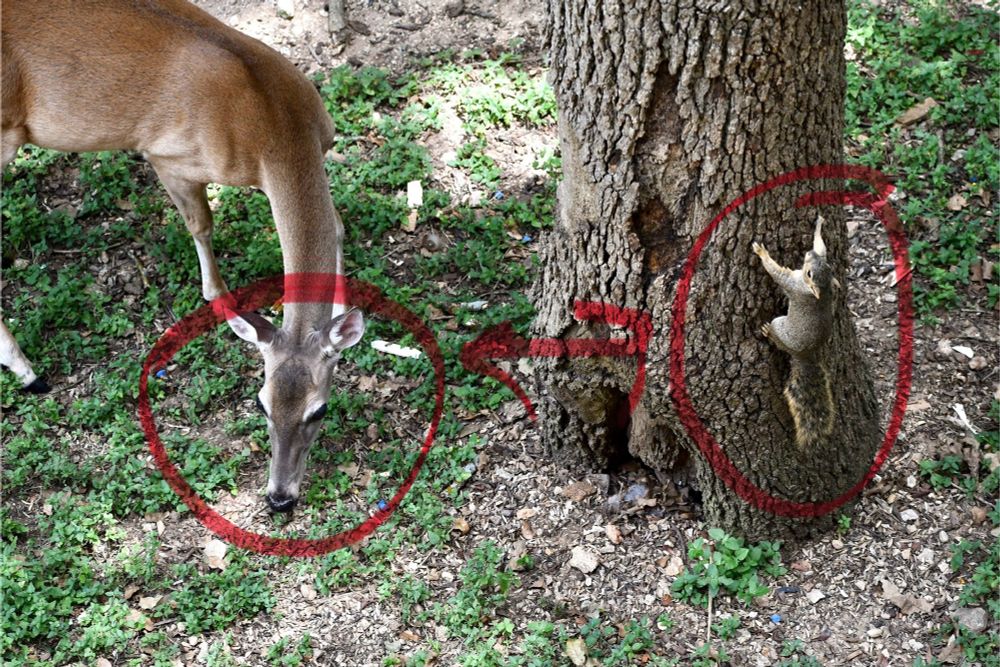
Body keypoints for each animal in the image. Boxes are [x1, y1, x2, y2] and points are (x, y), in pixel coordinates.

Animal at [1, 0, 365, 512]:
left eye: (320, 409)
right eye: (260, 402)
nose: (279, 497)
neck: (274, 126)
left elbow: (336, 226)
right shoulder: (169, 157)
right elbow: (202, 225)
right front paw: (217, 295)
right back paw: (28, 371)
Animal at [752, 217, 838, 449]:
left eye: (810, 274)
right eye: (828, 266)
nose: (808, 254)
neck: (820, 292)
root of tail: (804, 355)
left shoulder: (793, 284)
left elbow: (776, 272)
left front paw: (762, 253)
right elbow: (821, 245)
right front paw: (818, 226)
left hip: (781, 326)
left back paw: (768, 332)